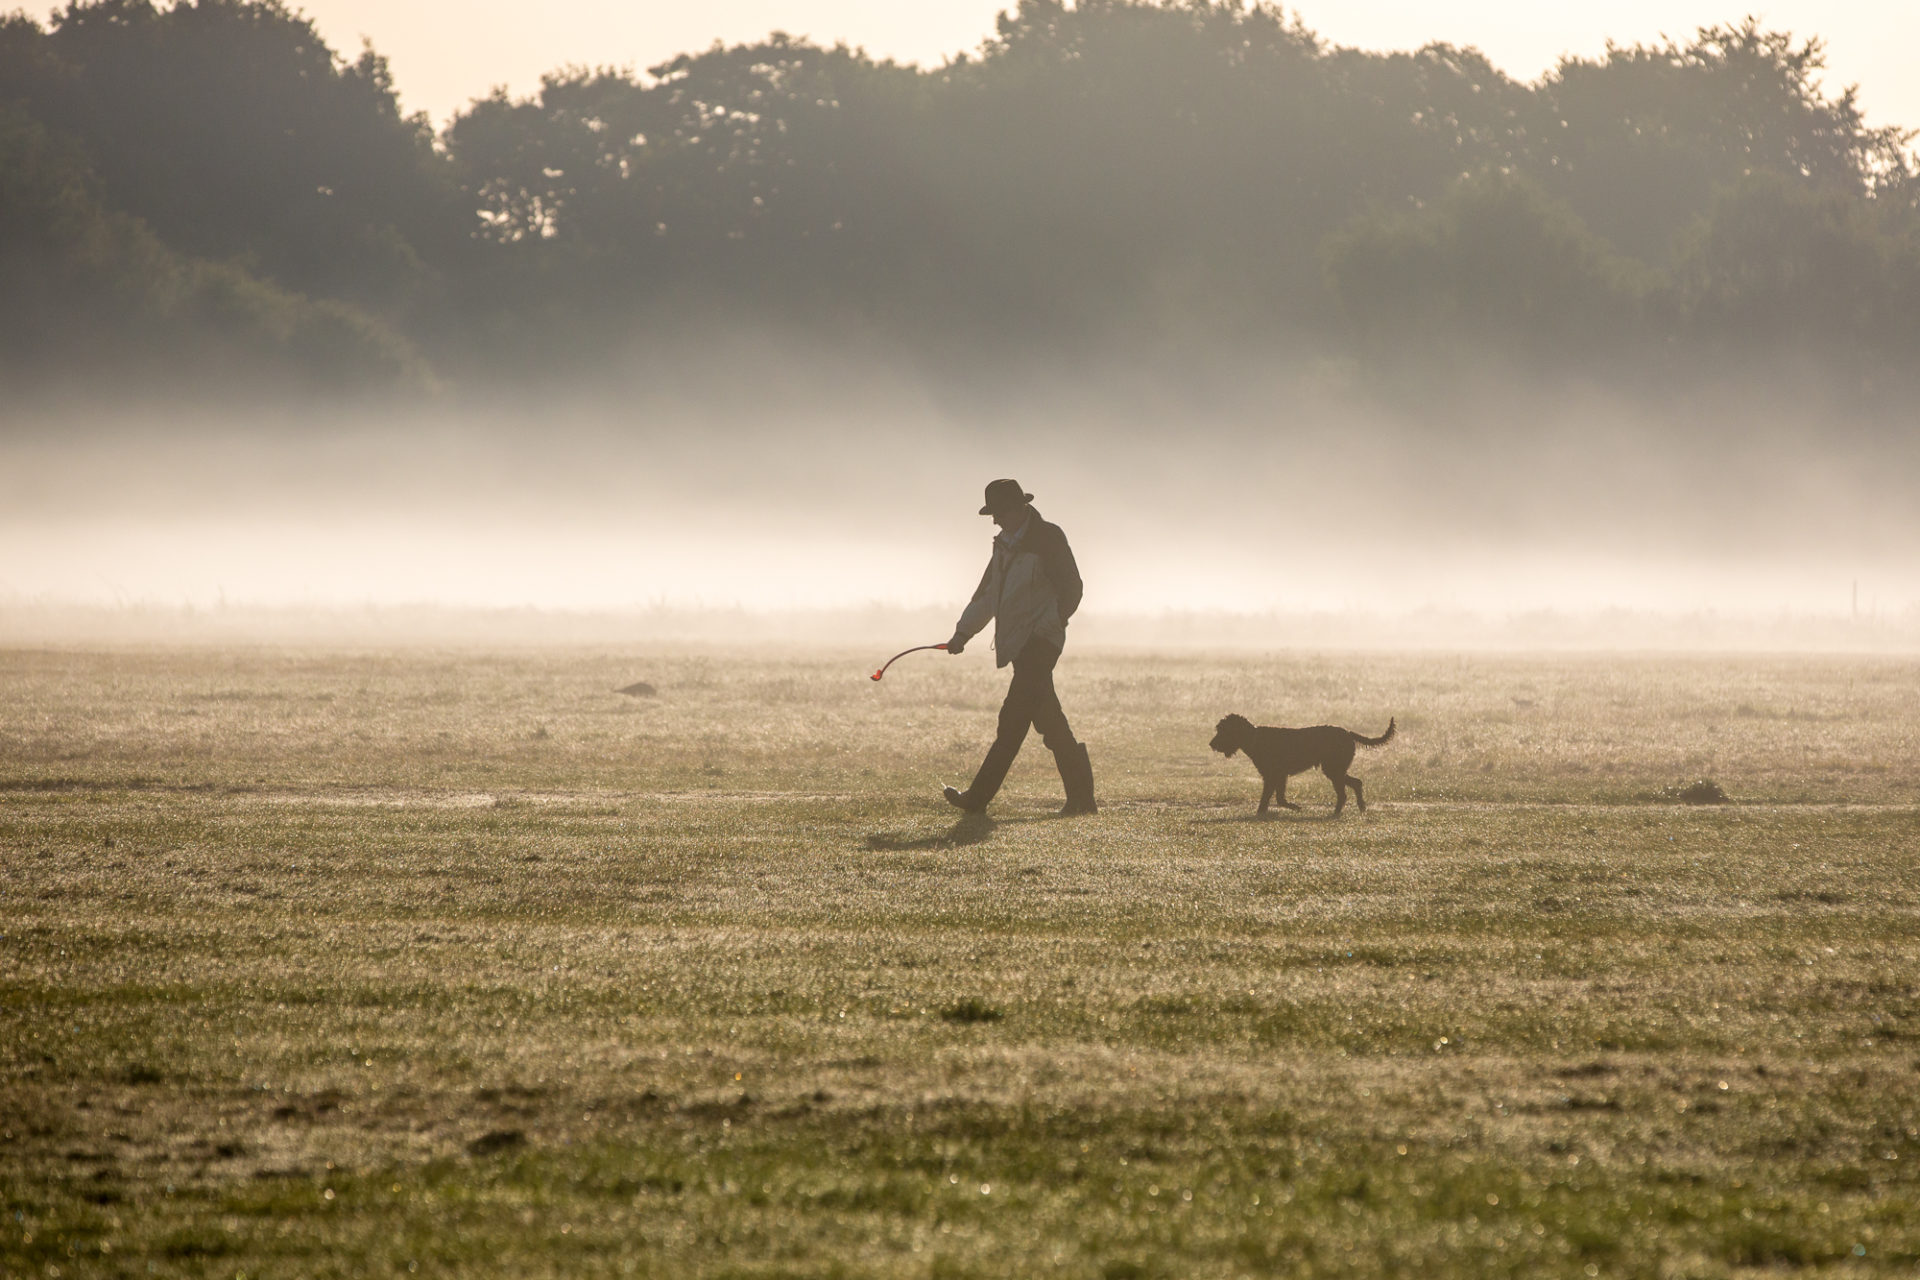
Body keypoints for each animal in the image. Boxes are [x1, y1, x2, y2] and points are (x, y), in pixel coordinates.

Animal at [1205, 717, 1405, 817]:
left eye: (1223, 730)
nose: (1211, 744)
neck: (1254, 738)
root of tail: (1348, 733)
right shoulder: (1278, 776)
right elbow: (1278, 799)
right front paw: (1289, 808)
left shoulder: (1273, 776)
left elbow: (1271, 798)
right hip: (1335, 769)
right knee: (1357, 783)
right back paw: (1361, 807)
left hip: (1334, 770)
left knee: (1344, 793)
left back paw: (1336, 812)